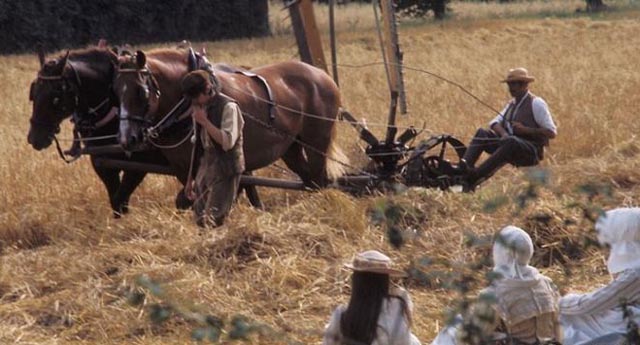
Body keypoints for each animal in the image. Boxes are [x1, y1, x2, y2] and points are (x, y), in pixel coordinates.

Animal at [27, 47, 186, 215]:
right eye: (33, 91)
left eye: (55, 96)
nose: (34, 137)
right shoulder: (103, 164)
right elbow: (116, 202)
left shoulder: (140, 164)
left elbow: (119, 200)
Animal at [114, 49, 344, 194]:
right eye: (115, 90)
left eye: (141, 91)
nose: (127, 139)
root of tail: (322, 74)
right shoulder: (182, 169)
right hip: (291, 147)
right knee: (309, 180)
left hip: (317, 142)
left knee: (320, 179)